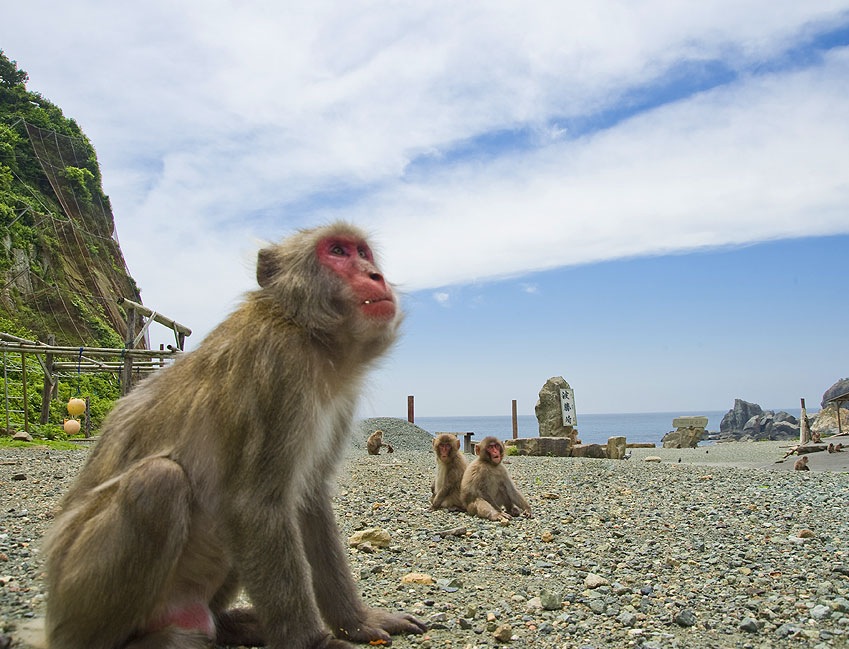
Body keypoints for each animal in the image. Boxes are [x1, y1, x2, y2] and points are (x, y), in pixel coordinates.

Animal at [43, 223, 428, 648]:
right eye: (338, 251)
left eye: (364, 253)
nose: (375, 276)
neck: (304, 330)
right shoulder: (276, 367)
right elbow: (254, 505)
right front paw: (317, 643)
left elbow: (308, 500)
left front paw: (356, 621)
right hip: (76, 594)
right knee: (158, 481)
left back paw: (229, 623)